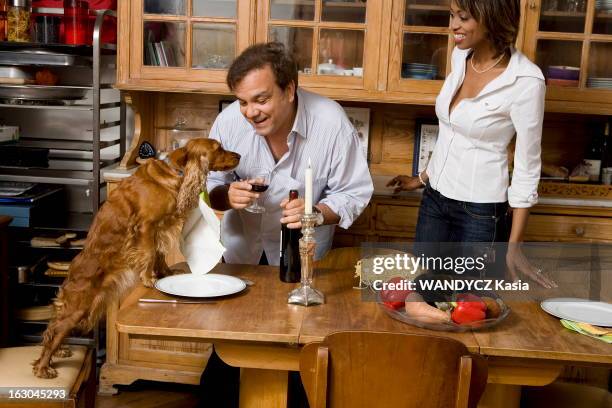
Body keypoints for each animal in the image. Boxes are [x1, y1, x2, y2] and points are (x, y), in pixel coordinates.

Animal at [32, 139, 239, 378]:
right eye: (218, 148)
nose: (239, 156)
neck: (175, 170)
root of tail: (70, 272)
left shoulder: (160, 226)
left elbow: (159, 253)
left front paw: (166, 273)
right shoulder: (146, 225)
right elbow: (149, 254)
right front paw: (149, 279)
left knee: (53, 329)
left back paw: (59, 353)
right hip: (79, 307)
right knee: (55, 332)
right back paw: (43, 367)